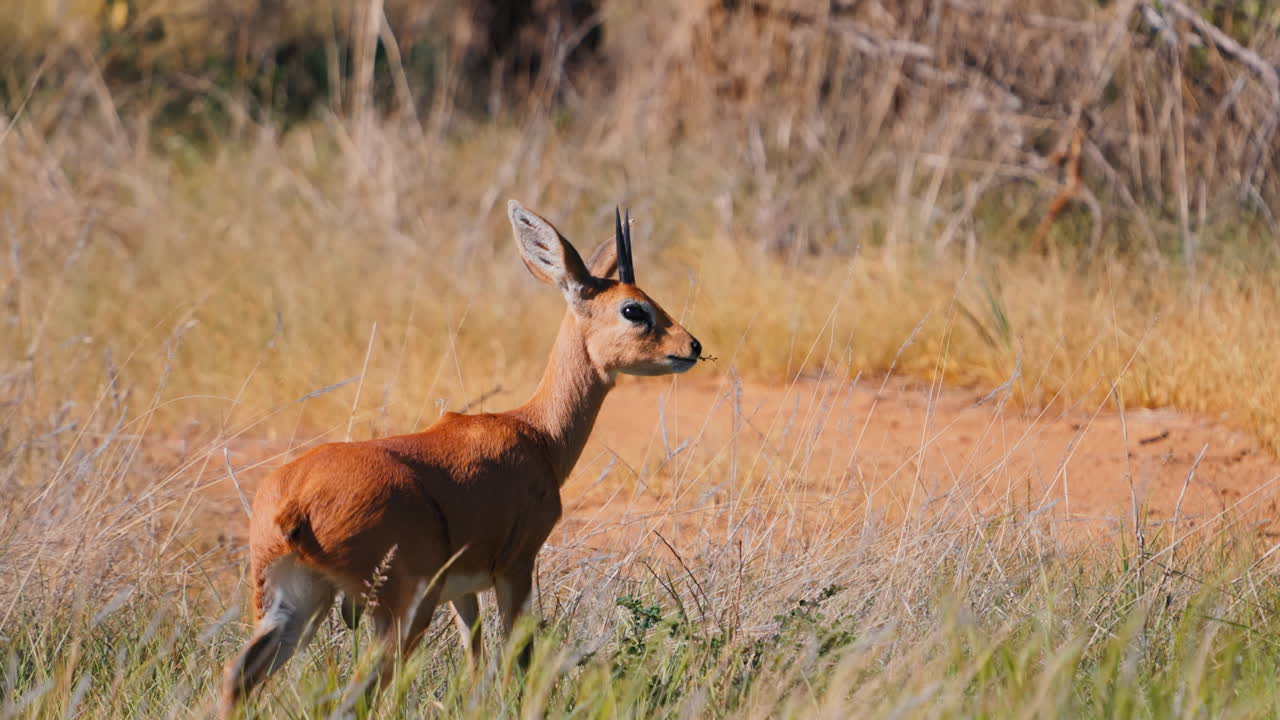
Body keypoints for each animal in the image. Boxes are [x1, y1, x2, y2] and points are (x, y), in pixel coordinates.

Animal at [221, 200, 703, 716]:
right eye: (634, 309)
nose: (692, 346)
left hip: (294, 604)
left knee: (237, 677)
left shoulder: (464, 591)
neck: (535, 432)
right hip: (399, 613)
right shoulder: (516, 568)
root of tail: (296, 502)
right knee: (353, 697)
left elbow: (475, 666)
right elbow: (519, 658)